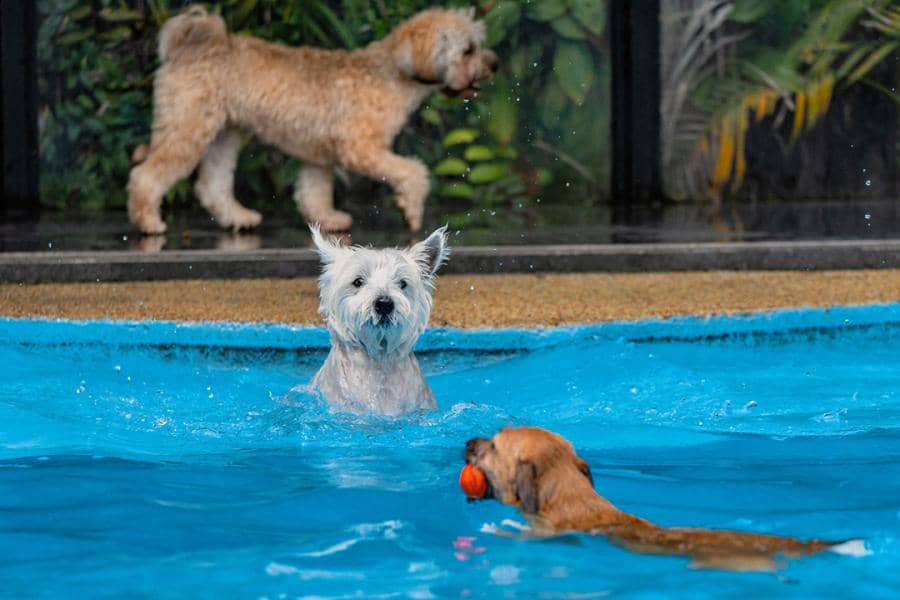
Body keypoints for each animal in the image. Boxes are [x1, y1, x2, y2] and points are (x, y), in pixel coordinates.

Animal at [127, 7, 496, 237]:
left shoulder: (318, 157)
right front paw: (412, 210)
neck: (392, 71)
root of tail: (192, 45)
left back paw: (239, 218)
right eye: (468, 50)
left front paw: (328, 220)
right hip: (187, 128)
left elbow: (314, 194)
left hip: (224, 134)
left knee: (212, 185)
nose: (494, 64)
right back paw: (148, 222)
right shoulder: (359, 149)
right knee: (146, 175)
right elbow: (413, 172)